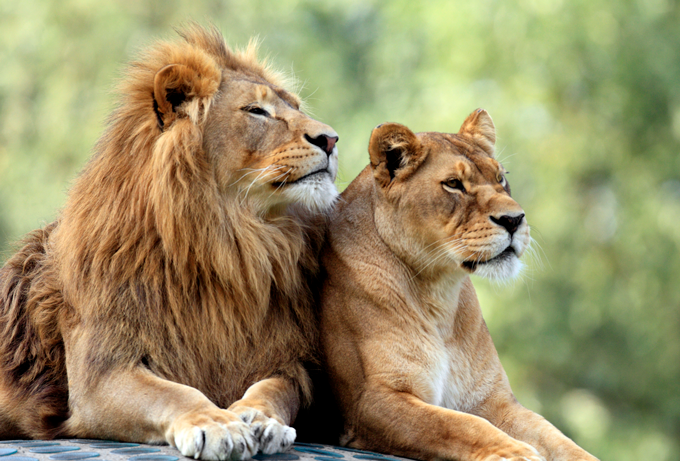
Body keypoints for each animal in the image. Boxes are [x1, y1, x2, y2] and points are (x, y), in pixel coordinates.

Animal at [0, 25, 339, 460]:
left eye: (295, 106)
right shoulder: (100, 374)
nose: (331, 139)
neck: (230, 243)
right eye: (257, 111)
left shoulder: (288, 361)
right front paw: (217, 424)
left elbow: (275, 390)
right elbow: (175, 393)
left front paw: (260, 418)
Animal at [316, 111, 598, 461]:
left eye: (500, 178)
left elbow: (556, 437)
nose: (514, 219)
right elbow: (458, 425)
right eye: (453, 184)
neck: (439, 294)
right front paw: (517, 452)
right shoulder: (371, 401)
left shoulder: (492, 399)